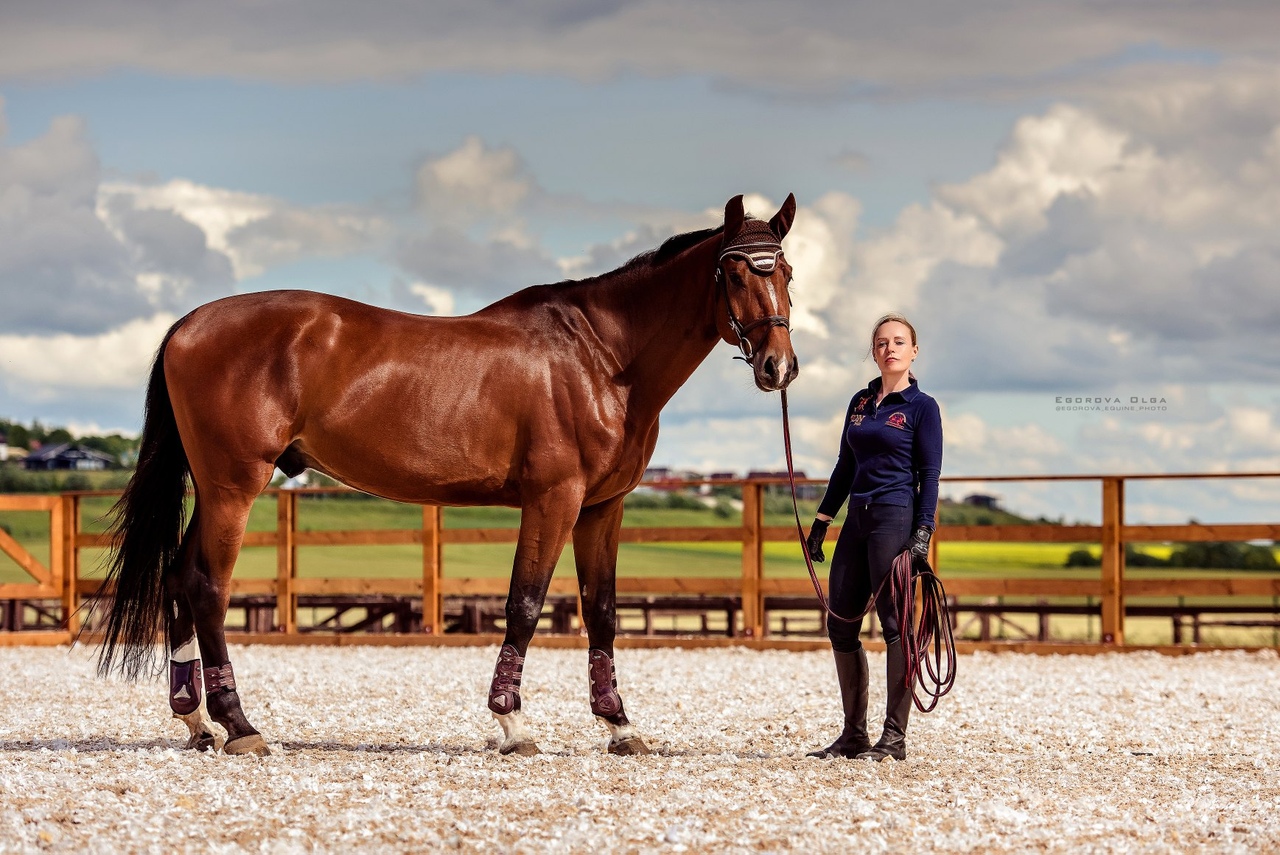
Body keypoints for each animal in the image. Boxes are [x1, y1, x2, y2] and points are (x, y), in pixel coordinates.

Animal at [99, 191, 793, 752]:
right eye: (734, 270)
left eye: (784, 271)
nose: (778, 367)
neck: (600, 356)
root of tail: (190, 323)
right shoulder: (554, 499)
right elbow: (525, 603)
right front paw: (513, 724)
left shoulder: (603, 506)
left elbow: (601, 610)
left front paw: (620, 726)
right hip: (234, 486)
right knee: (207, 586)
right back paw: (240, 726)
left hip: (214, 488)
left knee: (178, 576)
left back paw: (196, 722)